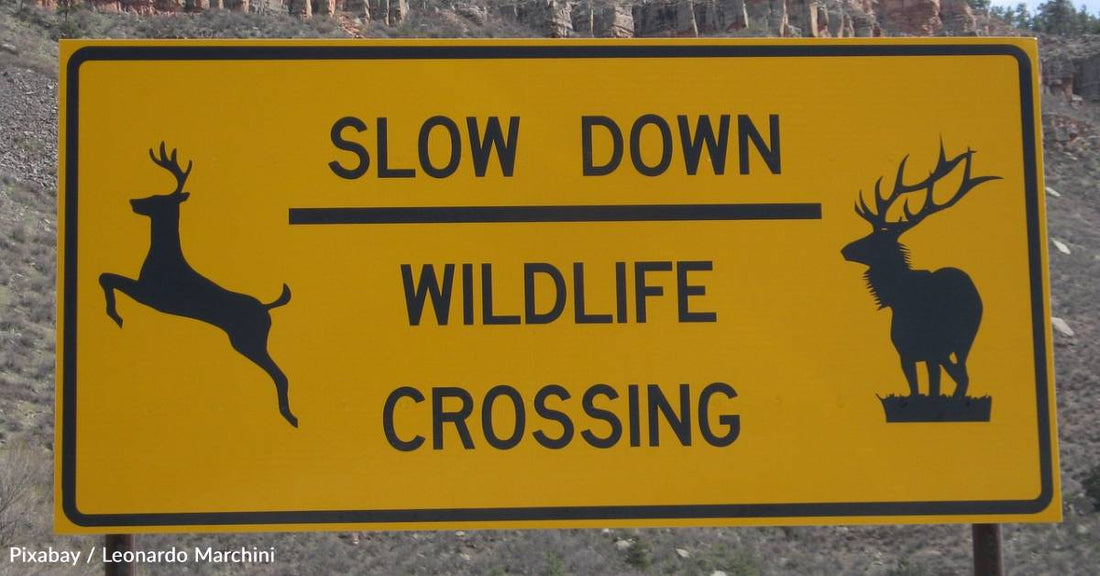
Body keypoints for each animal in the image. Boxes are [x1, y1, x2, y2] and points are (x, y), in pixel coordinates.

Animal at [99, 143, 298, 427]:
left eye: (157, 198)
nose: (133, 202)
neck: (164, 255)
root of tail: (266, 307)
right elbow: (107, 276)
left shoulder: (151, 294)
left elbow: (107, 277)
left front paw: (116, 316)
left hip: (249, 342)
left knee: (280, 374)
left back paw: (289, 416)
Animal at [841, 143, 1000, 399]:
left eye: (875, 241)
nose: (845, 249)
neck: (900, 299)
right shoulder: (907, 354)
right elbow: (916, 390)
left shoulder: (932, 353)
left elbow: (933, 389)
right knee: (961, 376)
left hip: (962, 342)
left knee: (963, 377)